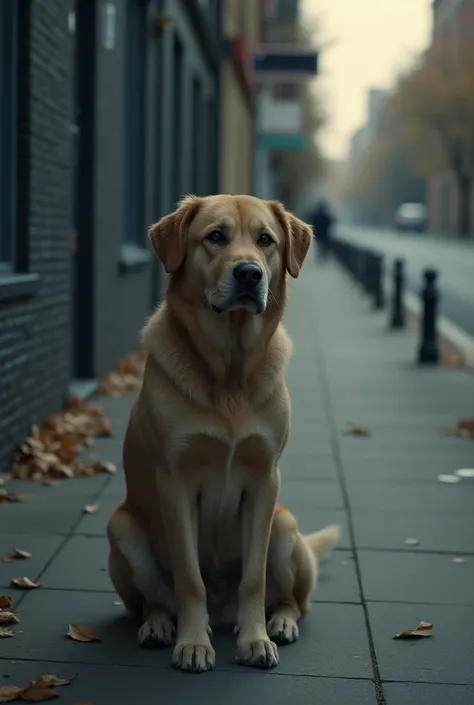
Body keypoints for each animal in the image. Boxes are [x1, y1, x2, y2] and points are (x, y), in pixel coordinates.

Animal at [106, 192, 340, 672]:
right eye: (215, 236)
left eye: (266, 240)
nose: (249, 273)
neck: (230, 371)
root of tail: (221, 611)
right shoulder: (175, 482)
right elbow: (189, 577)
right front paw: (193, 644)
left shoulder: (265, 479)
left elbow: (252, 578)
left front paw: (254, 640)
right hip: (121, 527)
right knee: (154, 600)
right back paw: (159, 626)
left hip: (285, 526)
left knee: (293, 600)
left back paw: (279, 622)